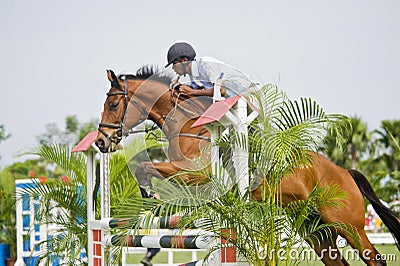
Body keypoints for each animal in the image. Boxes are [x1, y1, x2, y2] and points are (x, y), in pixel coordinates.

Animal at [96, 65, 400, 266]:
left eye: (113, 105)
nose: (101, 141)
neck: (184, 122)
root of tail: (345, 172)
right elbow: (147, 169)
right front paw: (151, 199)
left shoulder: (200, 173)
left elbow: (148, 169)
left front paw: (152, 197)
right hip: (315, 231)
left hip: (349, 227)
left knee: (375, 259)